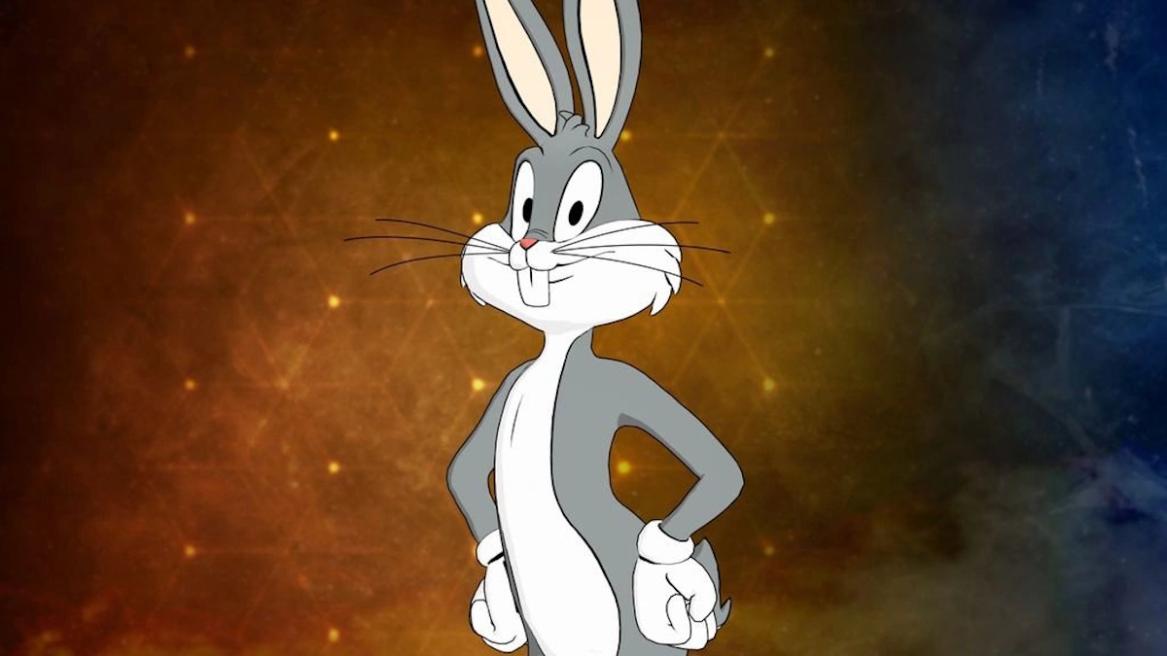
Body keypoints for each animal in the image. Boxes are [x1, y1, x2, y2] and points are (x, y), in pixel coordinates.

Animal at [445, 1, 744, 654]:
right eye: (524, 206)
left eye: (578, 211)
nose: (529, 244)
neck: (557, 355)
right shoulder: (508, 382)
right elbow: (462, 469)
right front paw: (495, 595)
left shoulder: (621, 384)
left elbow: (721, 469)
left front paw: (663, 576)